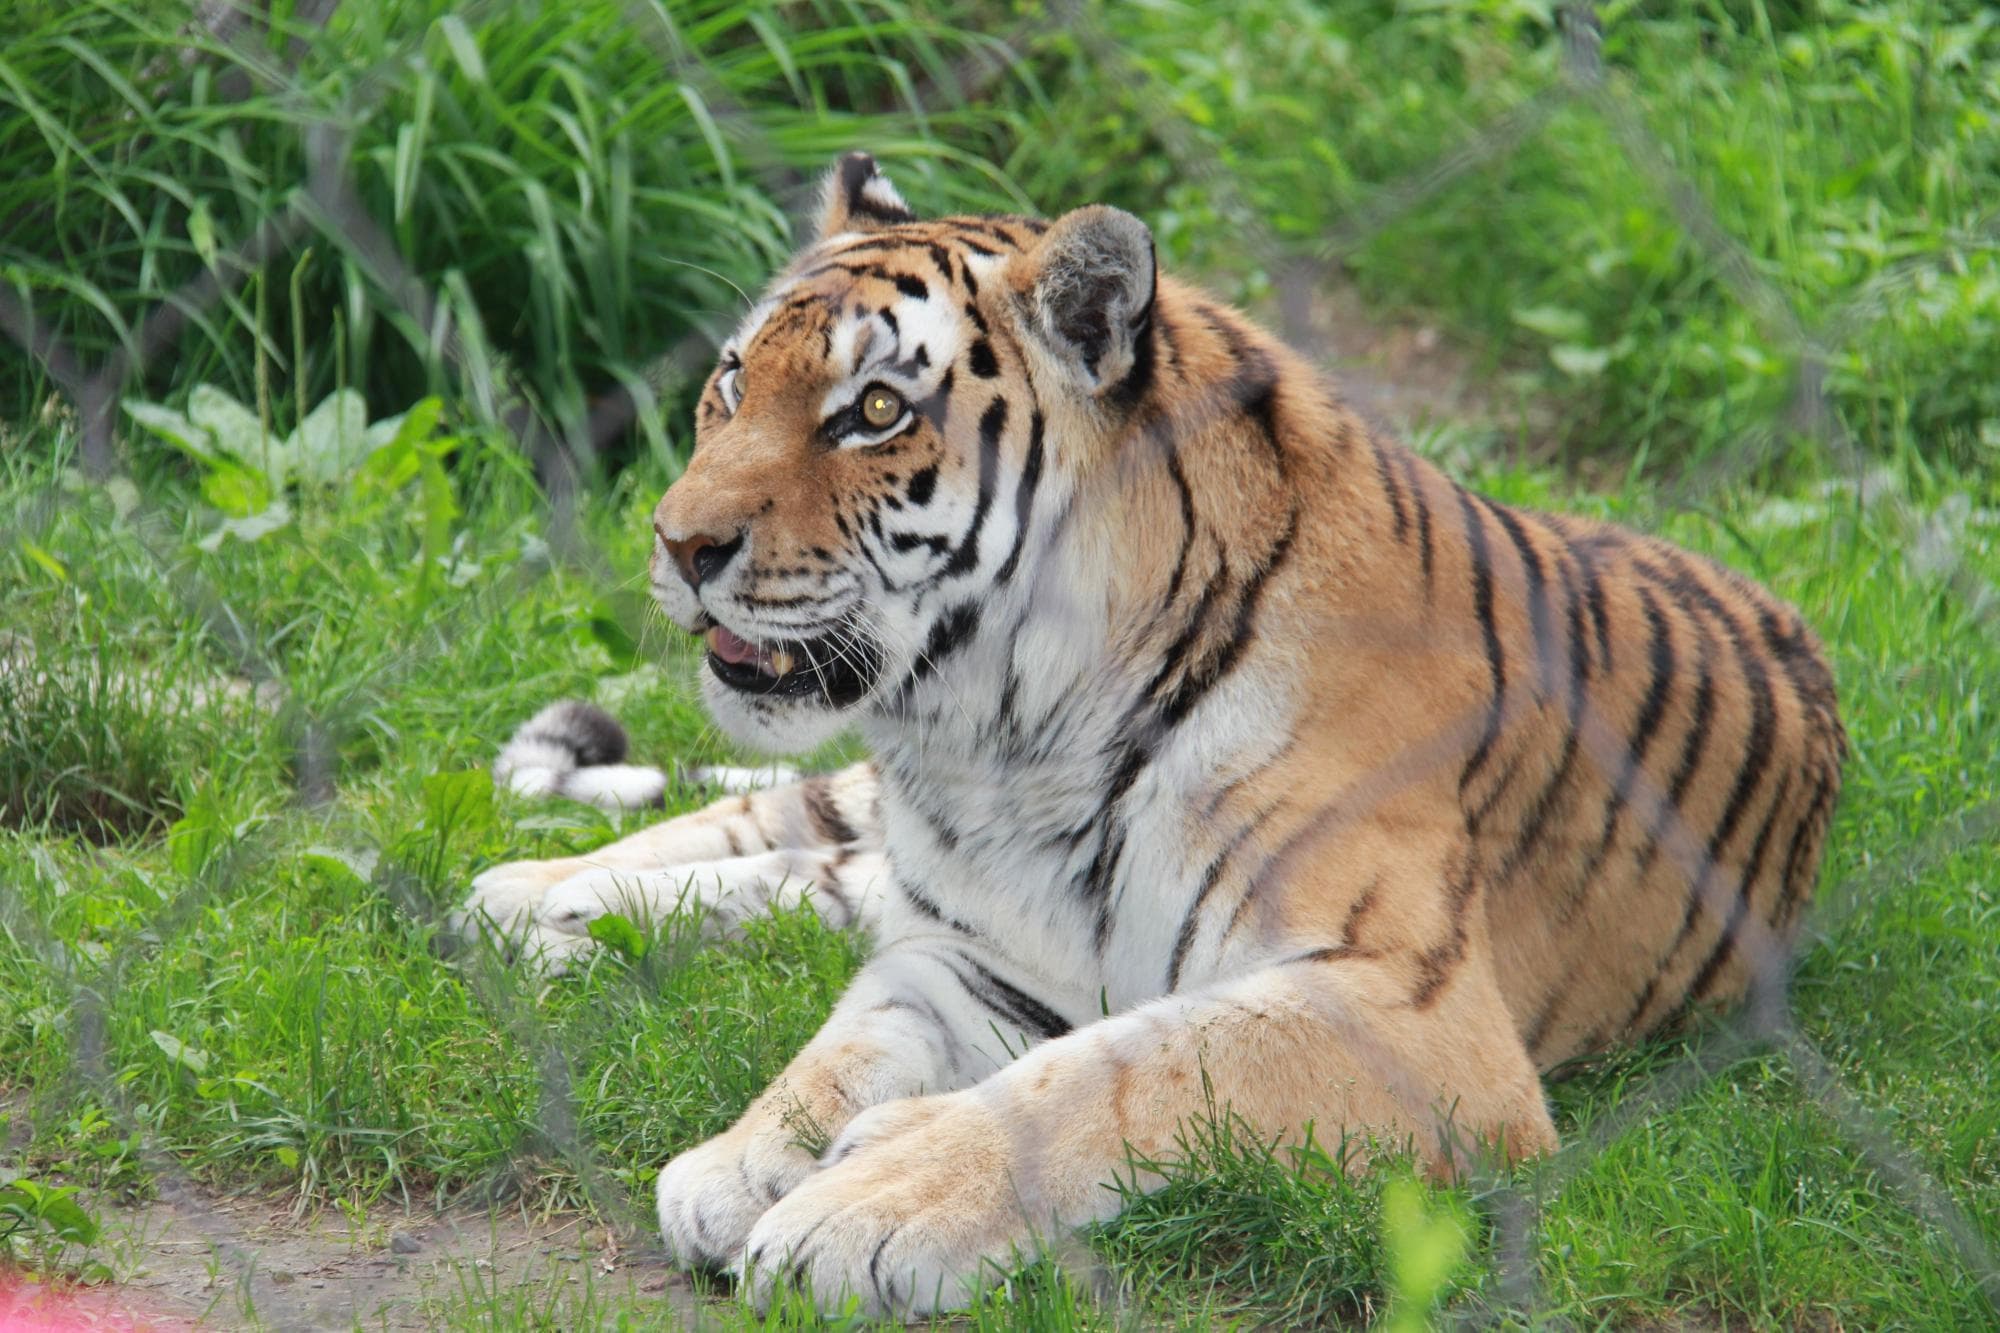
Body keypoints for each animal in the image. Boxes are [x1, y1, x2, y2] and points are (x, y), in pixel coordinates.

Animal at [456, 151, 1846, 1316]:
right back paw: (516, 896)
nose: (677, 543)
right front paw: (743, 1158)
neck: (1007, 741)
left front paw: (855, 1204)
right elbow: (845, 1043)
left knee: (813, 880)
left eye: (873, 411)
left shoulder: (1408, 1009)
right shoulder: (971, 952)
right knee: (770, 828)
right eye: (733, 381)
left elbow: (1118, 1071)